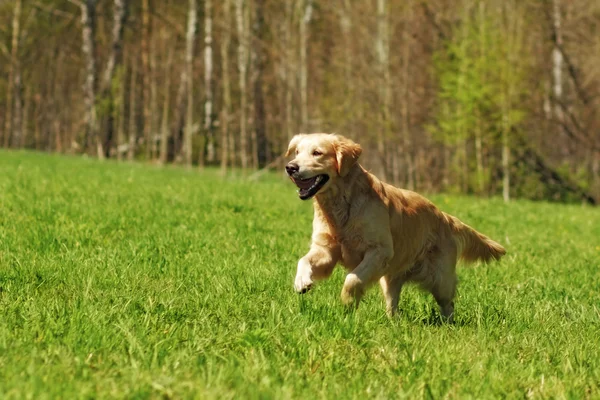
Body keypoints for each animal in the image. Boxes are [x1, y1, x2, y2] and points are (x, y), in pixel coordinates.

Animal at [286, 134, 506, 322]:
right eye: (297, 152)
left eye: (317, 153)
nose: (290, 167)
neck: (340, 204)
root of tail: (444, 216)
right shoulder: (326, 250)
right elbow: (303, 260)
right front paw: (302, 282)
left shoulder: (379, 250)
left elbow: (352, 278)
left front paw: (348, 301)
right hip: (391, 278)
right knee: (393, 303)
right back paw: (393, 321)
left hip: (440, 278)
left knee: (448, 303)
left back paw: (448, 323)